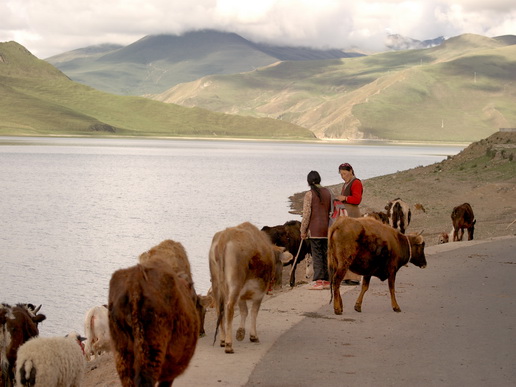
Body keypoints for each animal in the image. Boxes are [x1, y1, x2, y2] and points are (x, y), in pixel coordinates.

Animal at [210, 223, 290, 354]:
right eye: (281, 264)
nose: (279, 284)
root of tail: (226, 236)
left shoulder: (242, 294)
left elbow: (244, 311)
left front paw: (240, 332)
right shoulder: (259, 292)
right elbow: (253, 312)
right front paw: (253, 336)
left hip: (216, 284)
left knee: (219, 309)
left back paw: (222, 340)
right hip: (235, 283)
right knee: (229, 308)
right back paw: (228, 345)